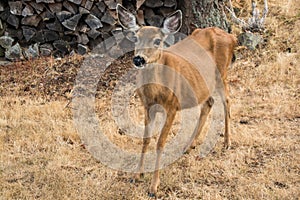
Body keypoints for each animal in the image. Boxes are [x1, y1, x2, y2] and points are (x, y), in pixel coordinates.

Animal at [116, 3, 237, 198]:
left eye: (157, 41)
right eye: (136, 38)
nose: (139, 59)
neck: (155, 91)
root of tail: (231, 36)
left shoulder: (172, 106)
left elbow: (160, 143)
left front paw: (153, 187)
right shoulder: (147, 107)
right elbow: (146, 139)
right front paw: (136, 175)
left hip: (222, 74)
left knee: (227, 101)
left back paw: (227, 142)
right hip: (203, 84)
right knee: (209, 102)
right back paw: (189, 145)